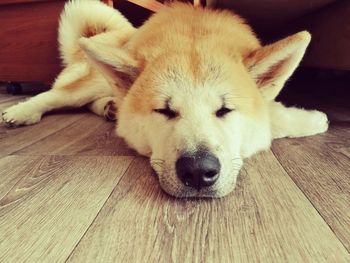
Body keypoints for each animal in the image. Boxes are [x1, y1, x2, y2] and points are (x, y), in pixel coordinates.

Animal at [0, 0, 328, 198]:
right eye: (164, 110)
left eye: (224, 110)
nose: (198, 171)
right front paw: (316, 119)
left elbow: (275, 117)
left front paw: (311, 119)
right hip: (90, 82)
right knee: (55, 95)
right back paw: (22, 111)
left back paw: (109, 108)